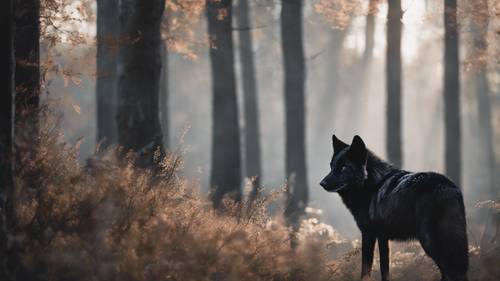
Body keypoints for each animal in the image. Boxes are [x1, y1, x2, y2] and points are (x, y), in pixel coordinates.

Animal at [320, 135, 468, 278]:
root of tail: (450, 187)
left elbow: (366, 270)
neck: (371, 185)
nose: (322, 183)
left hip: (431, 242)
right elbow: (385, 270)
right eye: (331, 166)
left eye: (344, 167)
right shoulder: (383, 237)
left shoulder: (369, 234)